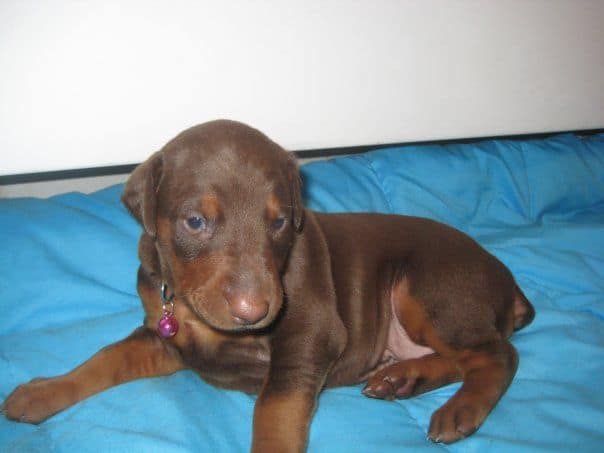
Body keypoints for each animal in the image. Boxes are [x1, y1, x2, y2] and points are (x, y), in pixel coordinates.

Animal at [3, 119, 532, 448]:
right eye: (195, 221)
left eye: (279, 222)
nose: (254, 311)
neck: (191, 306)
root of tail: (510, 284)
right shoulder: (166, 338)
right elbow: (106, 358)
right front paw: (40, 392)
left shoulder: (308, 332)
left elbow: (274, 412)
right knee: (463, 356)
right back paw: (402, 378)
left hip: (431, 288)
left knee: (497, 354)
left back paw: (461, 411)